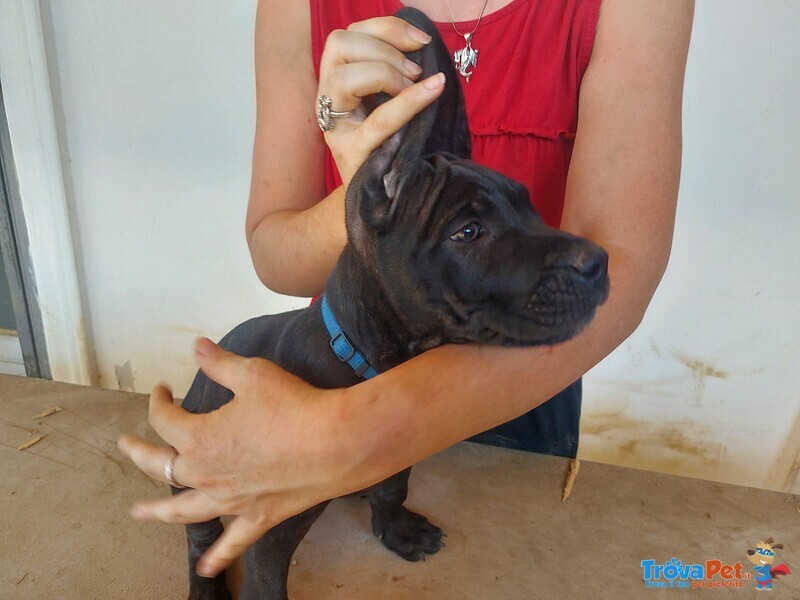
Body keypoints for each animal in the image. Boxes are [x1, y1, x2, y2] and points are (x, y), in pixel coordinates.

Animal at [177, 5, 608, 600]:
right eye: (468, 232)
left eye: (530, 207)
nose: (599, 263)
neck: (364, 357)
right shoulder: (268, 525)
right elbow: (264, 582)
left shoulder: (396, 439)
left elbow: (393, 485)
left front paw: (396, 528)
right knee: (200, 541)